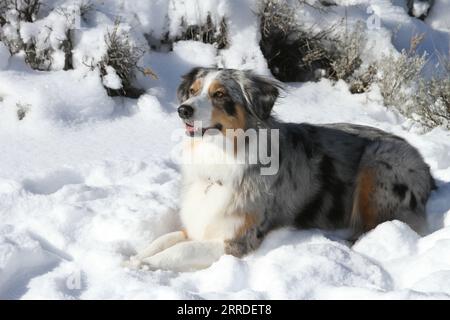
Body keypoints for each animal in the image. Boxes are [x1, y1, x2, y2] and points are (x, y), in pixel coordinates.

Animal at [125, 68, 434, 272]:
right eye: (192, 91)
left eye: (220, 94)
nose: (183, 110)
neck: (221, 157)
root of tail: (425, 164)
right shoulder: (198, 223)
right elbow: (166, 239)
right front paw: (135, 256)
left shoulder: (238, 240)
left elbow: (180, 251)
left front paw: (145, 264)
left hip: (377, 164)